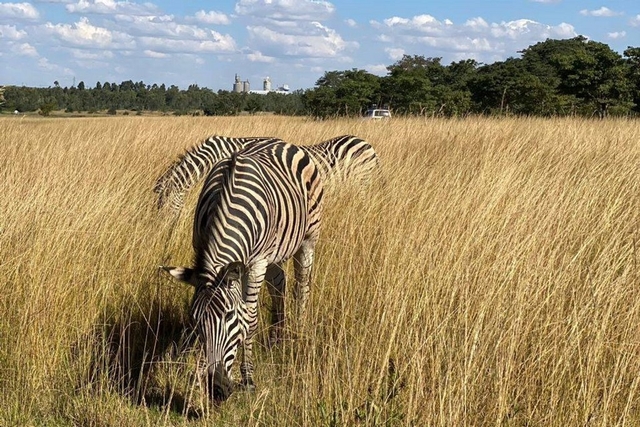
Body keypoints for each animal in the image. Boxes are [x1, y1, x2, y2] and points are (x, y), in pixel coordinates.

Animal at [160, 140, 320, 404]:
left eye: (229, 317)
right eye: (195, 320)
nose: (217, 389)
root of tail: (281, 142)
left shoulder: (256, 264)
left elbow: (250, 320)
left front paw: (248, 378)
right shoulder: (204, 253)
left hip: (308, 238)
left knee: (302, 286)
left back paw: (298, 333)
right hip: (274, 253)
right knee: (279, 283)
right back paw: (277, 337)